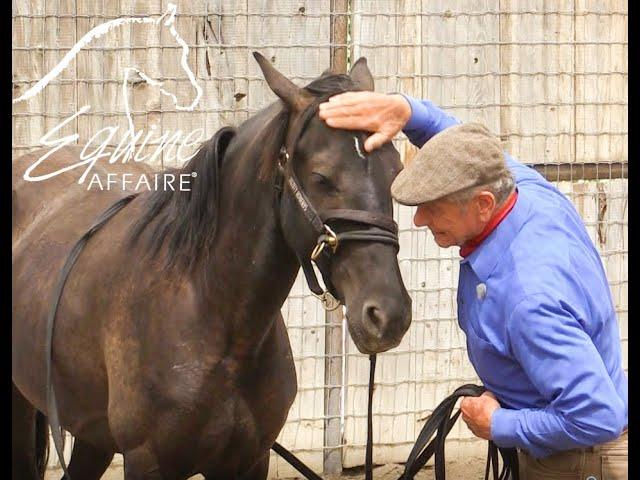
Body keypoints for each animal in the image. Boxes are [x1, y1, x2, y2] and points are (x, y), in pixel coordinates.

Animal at [12, 54, 412, 478]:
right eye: (321, 176)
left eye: (395, 171)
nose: (387, 315)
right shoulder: (146, 461)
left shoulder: (249, 461)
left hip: (92, 434)